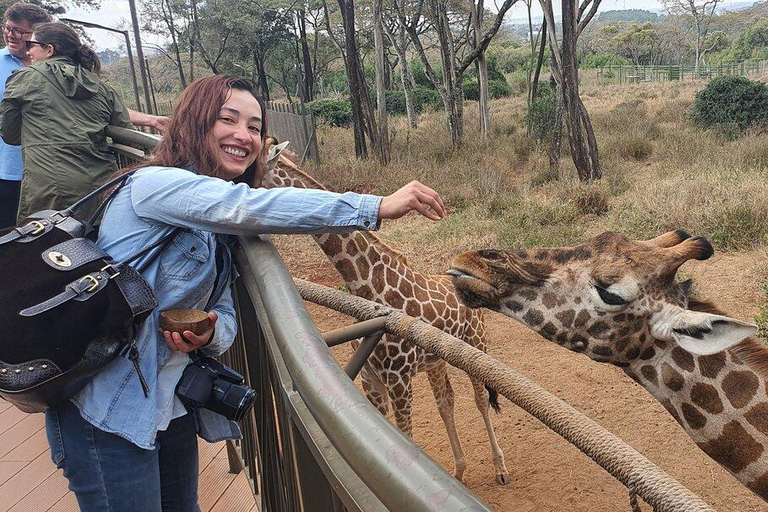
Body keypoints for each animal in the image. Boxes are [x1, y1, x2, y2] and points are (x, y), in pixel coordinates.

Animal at [264, 143, 510, 484]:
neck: (365, 288)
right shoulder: (371, 379)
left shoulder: (399, 379)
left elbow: (406, 436)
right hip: (435, 361)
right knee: (445, 400)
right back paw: (459, 470)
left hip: (476, 345)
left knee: (480, 399)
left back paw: (500, 468)